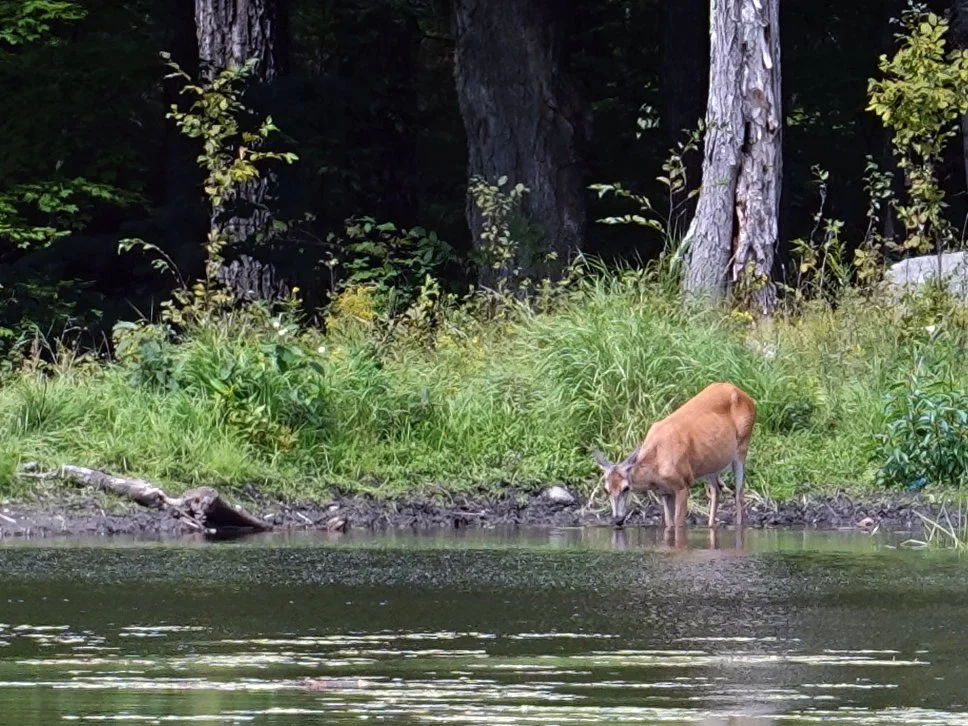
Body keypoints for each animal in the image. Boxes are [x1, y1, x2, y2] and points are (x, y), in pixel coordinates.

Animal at [592, 382, 756, 530]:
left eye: (626, 488)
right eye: (606, 489)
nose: (617, 520)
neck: (656, 467)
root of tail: (747, 397)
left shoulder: (683, 484)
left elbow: (678, 523)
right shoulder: (664, 492)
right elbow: (669, 523)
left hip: (742, 446)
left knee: (739, 494)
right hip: (711, 464)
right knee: (716, 491)